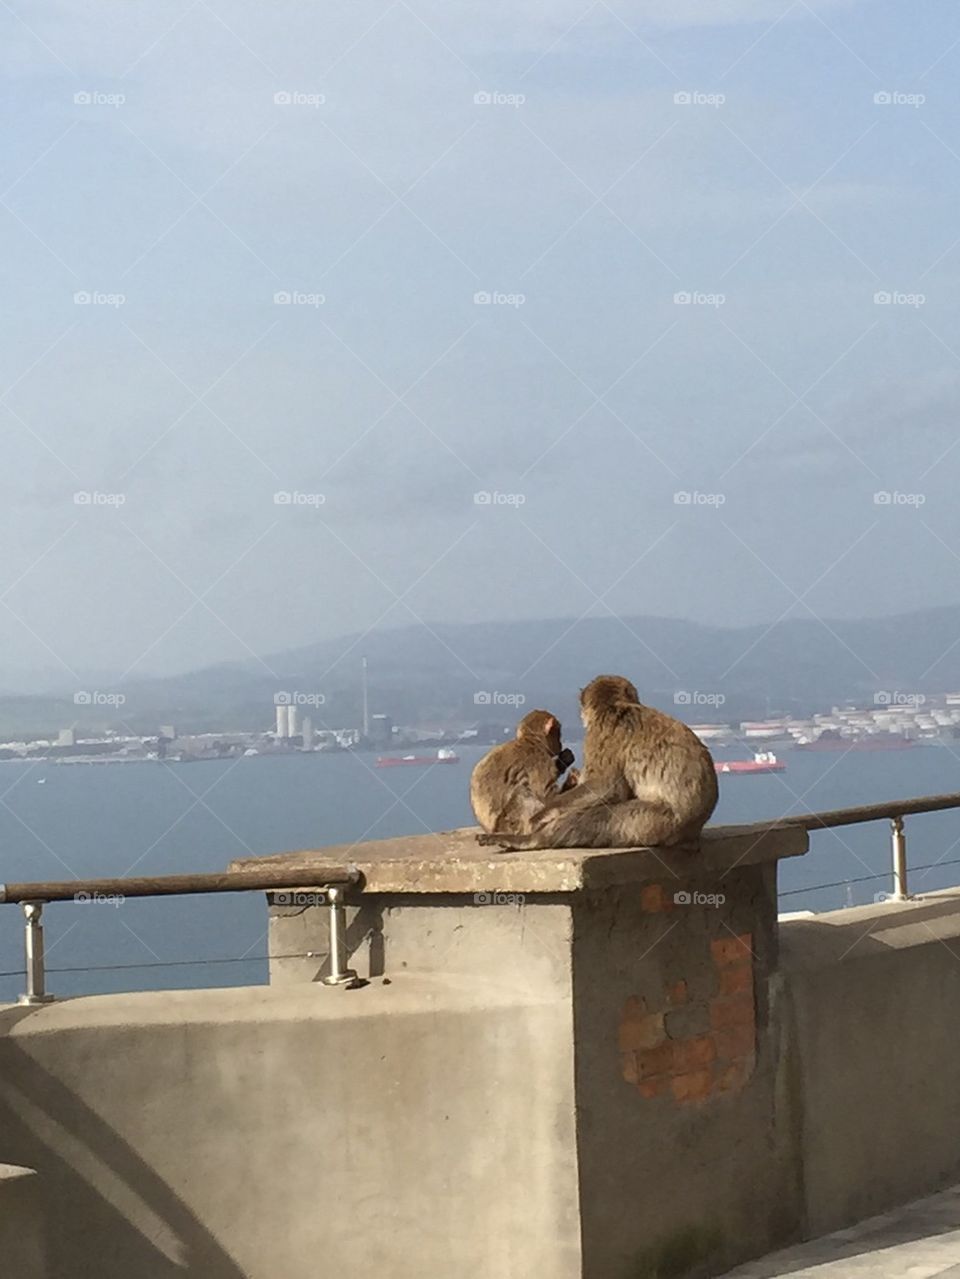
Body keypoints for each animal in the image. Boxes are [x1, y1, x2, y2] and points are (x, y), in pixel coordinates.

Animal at [477, 675, 717, 850]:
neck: (617, 705)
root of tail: (692, 829)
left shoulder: (598, 735)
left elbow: (607, 787)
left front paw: (542, 814)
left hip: (650, 822)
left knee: (591, 818)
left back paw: (530, 840)